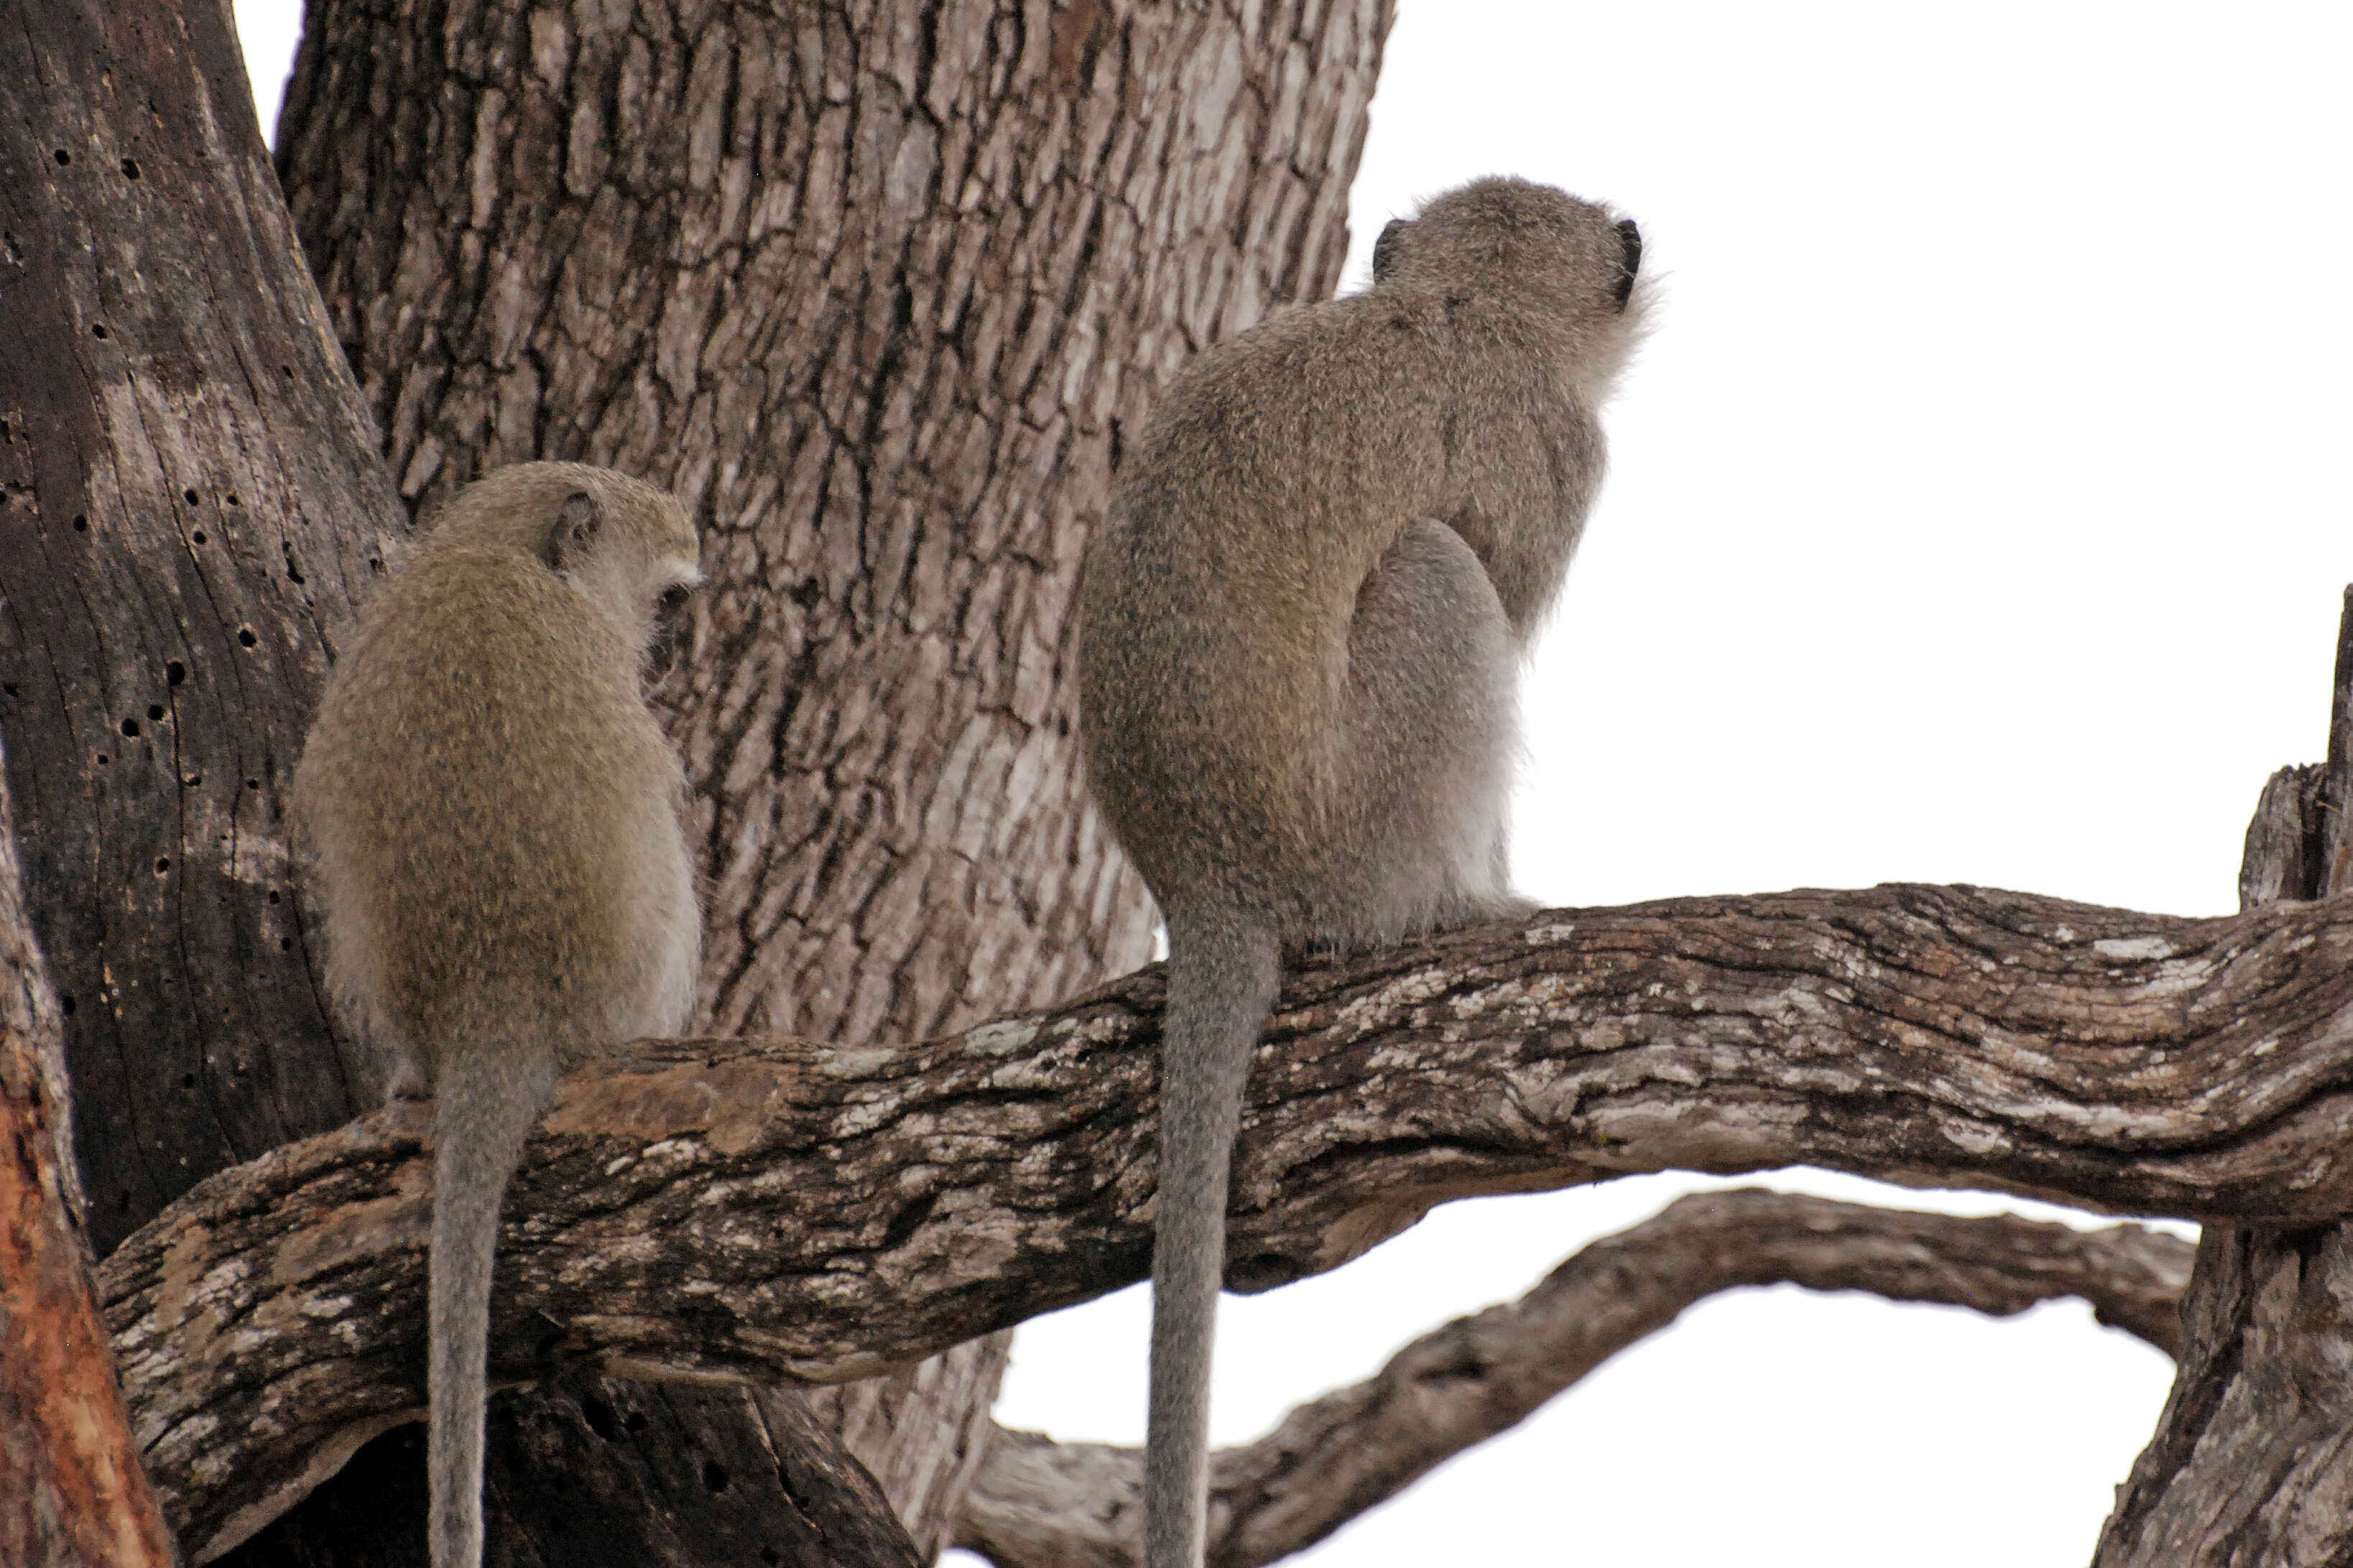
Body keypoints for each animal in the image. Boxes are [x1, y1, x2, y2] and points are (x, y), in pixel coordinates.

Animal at [1077, 175, 1647, 1568]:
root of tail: (1207, 878)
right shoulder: (1557, 455)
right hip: (1356, 823)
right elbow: (1496, 591)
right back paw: (1466, 901)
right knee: (1439, 570)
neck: (1466, 303)